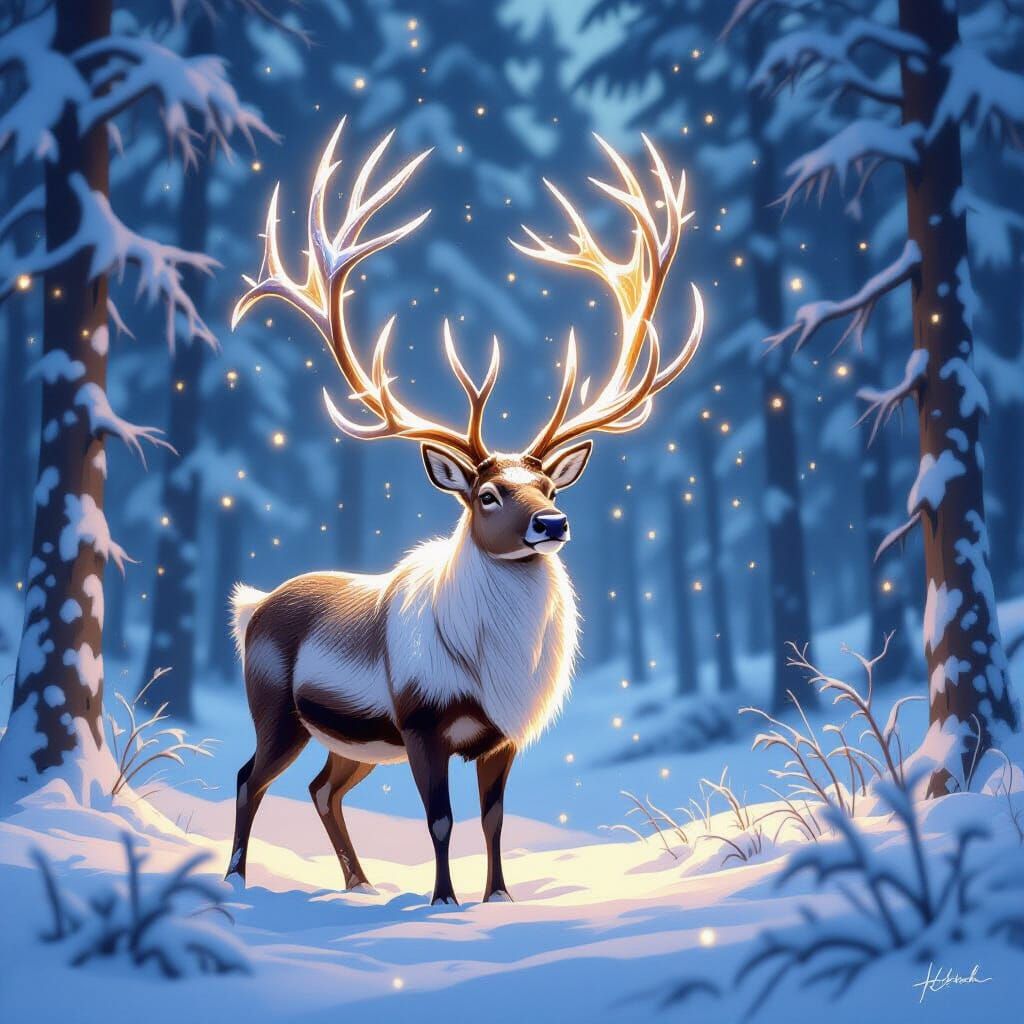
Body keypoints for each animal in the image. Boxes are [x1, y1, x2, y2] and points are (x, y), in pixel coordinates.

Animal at [225, 120, 703, 905]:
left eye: (552, 489)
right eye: (486, 494)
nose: (552, 526)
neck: (492, 672)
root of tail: (252, 606)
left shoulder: (501, 737)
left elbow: (494, 819)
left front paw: (498, 897)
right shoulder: (421, 722)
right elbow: (442, 821)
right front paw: (443, 900)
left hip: (355, 741)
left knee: (324, 788)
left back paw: (360, 884)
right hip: (278, 711)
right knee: (249, 776)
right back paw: (236, 877)